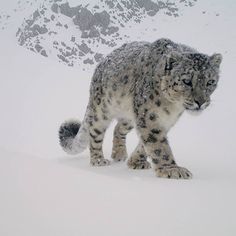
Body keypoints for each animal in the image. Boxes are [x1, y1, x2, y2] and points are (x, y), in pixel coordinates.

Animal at [58, 38, 222, 179]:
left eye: (210, 81)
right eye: (187, 81)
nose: (200, 102)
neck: (171, 107)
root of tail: (101, 64)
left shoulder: (165, 121)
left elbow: (146, 143)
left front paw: (136, 162)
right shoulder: (149, 116)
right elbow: (158, 145)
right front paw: (172, 169)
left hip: (129, 117)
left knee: (118, 128)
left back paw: (119, 154)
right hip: (101, 110)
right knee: (95, 132)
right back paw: (98, 160)